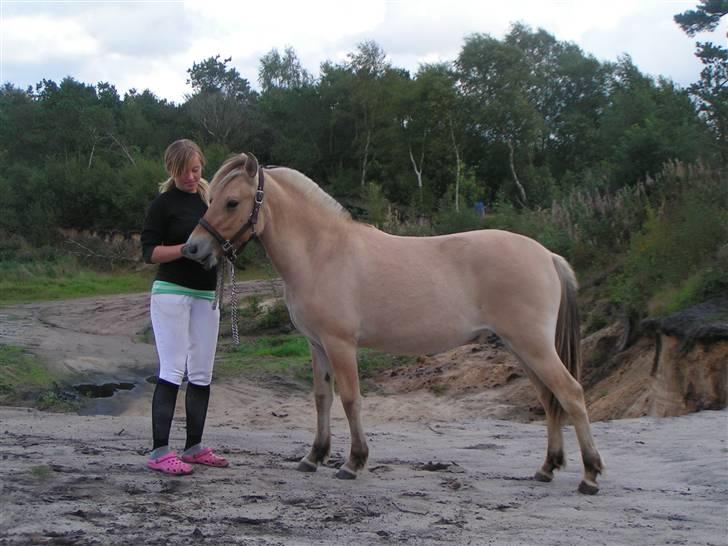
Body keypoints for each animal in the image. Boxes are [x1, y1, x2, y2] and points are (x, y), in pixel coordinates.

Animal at [182, 152, 604, 492]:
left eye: (232, 202)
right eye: (211, 199)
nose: (193, 249)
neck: (321, 252)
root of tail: (547, 255)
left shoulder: (340, 344)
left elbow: (350, 399)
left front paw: (354, 462)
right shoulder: (316, 345)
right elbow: (321, 398)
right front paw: (314, 456)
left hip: (533, 345)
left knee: (571, 393)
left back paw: (589, 475)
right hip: (521, 348)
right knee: (550, 399)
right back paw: (547, 468)